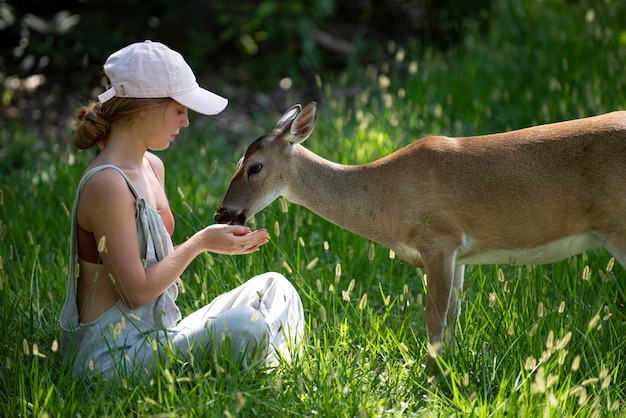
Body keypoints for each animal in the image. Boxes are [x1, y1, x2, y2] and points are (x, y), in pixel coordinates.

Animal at [213, 101, 624, 372]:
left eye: (254, 167)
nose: (222, 213)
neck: (385, 194)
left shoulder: (438, 239)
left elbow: (433, 318)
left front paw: (433, 376)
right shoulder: (459, 254)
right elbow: (453, 314)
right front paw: (450, 367)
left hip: (617, 227)